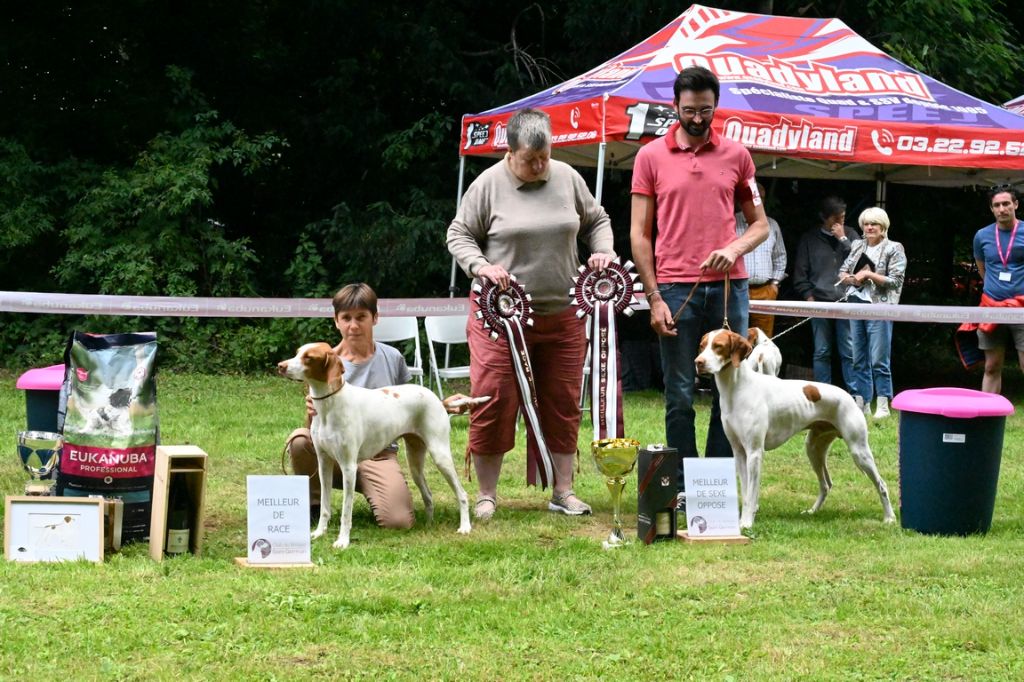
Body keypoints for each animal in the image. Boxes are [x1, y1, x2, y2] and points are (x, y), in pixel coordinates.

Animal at [278, 339, 473, 548]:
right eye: (297, 352)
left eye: (309, 357)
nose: (280, 366)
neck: (329, 406)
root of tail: (439, 400)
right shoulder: (323, 463)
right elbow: (324, 505)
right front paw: (319, 532)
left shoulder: (348, 467)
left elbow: (346, 512)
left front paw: (343, 540)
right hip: (414, 463)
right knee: (428, 495)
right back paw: (429, 525)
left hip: (440, 456)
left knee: (462, 494)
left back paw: (465, 527)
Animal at [696, 327, 897, 528]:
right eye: (702, 345)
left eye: (718, 346)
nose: (698, 362)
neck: (737, 389)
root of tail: (850, 397)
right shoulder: (739, 453)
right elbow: (745, 493)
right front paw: (743, 520)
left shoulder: (754, 453)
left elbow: (751, 495)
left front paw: (746, 523)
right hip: (813, 449)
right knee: (826, 484)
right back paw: (812, 511)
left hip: (859, 451)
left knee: (881, 485)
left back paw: (889, 518)